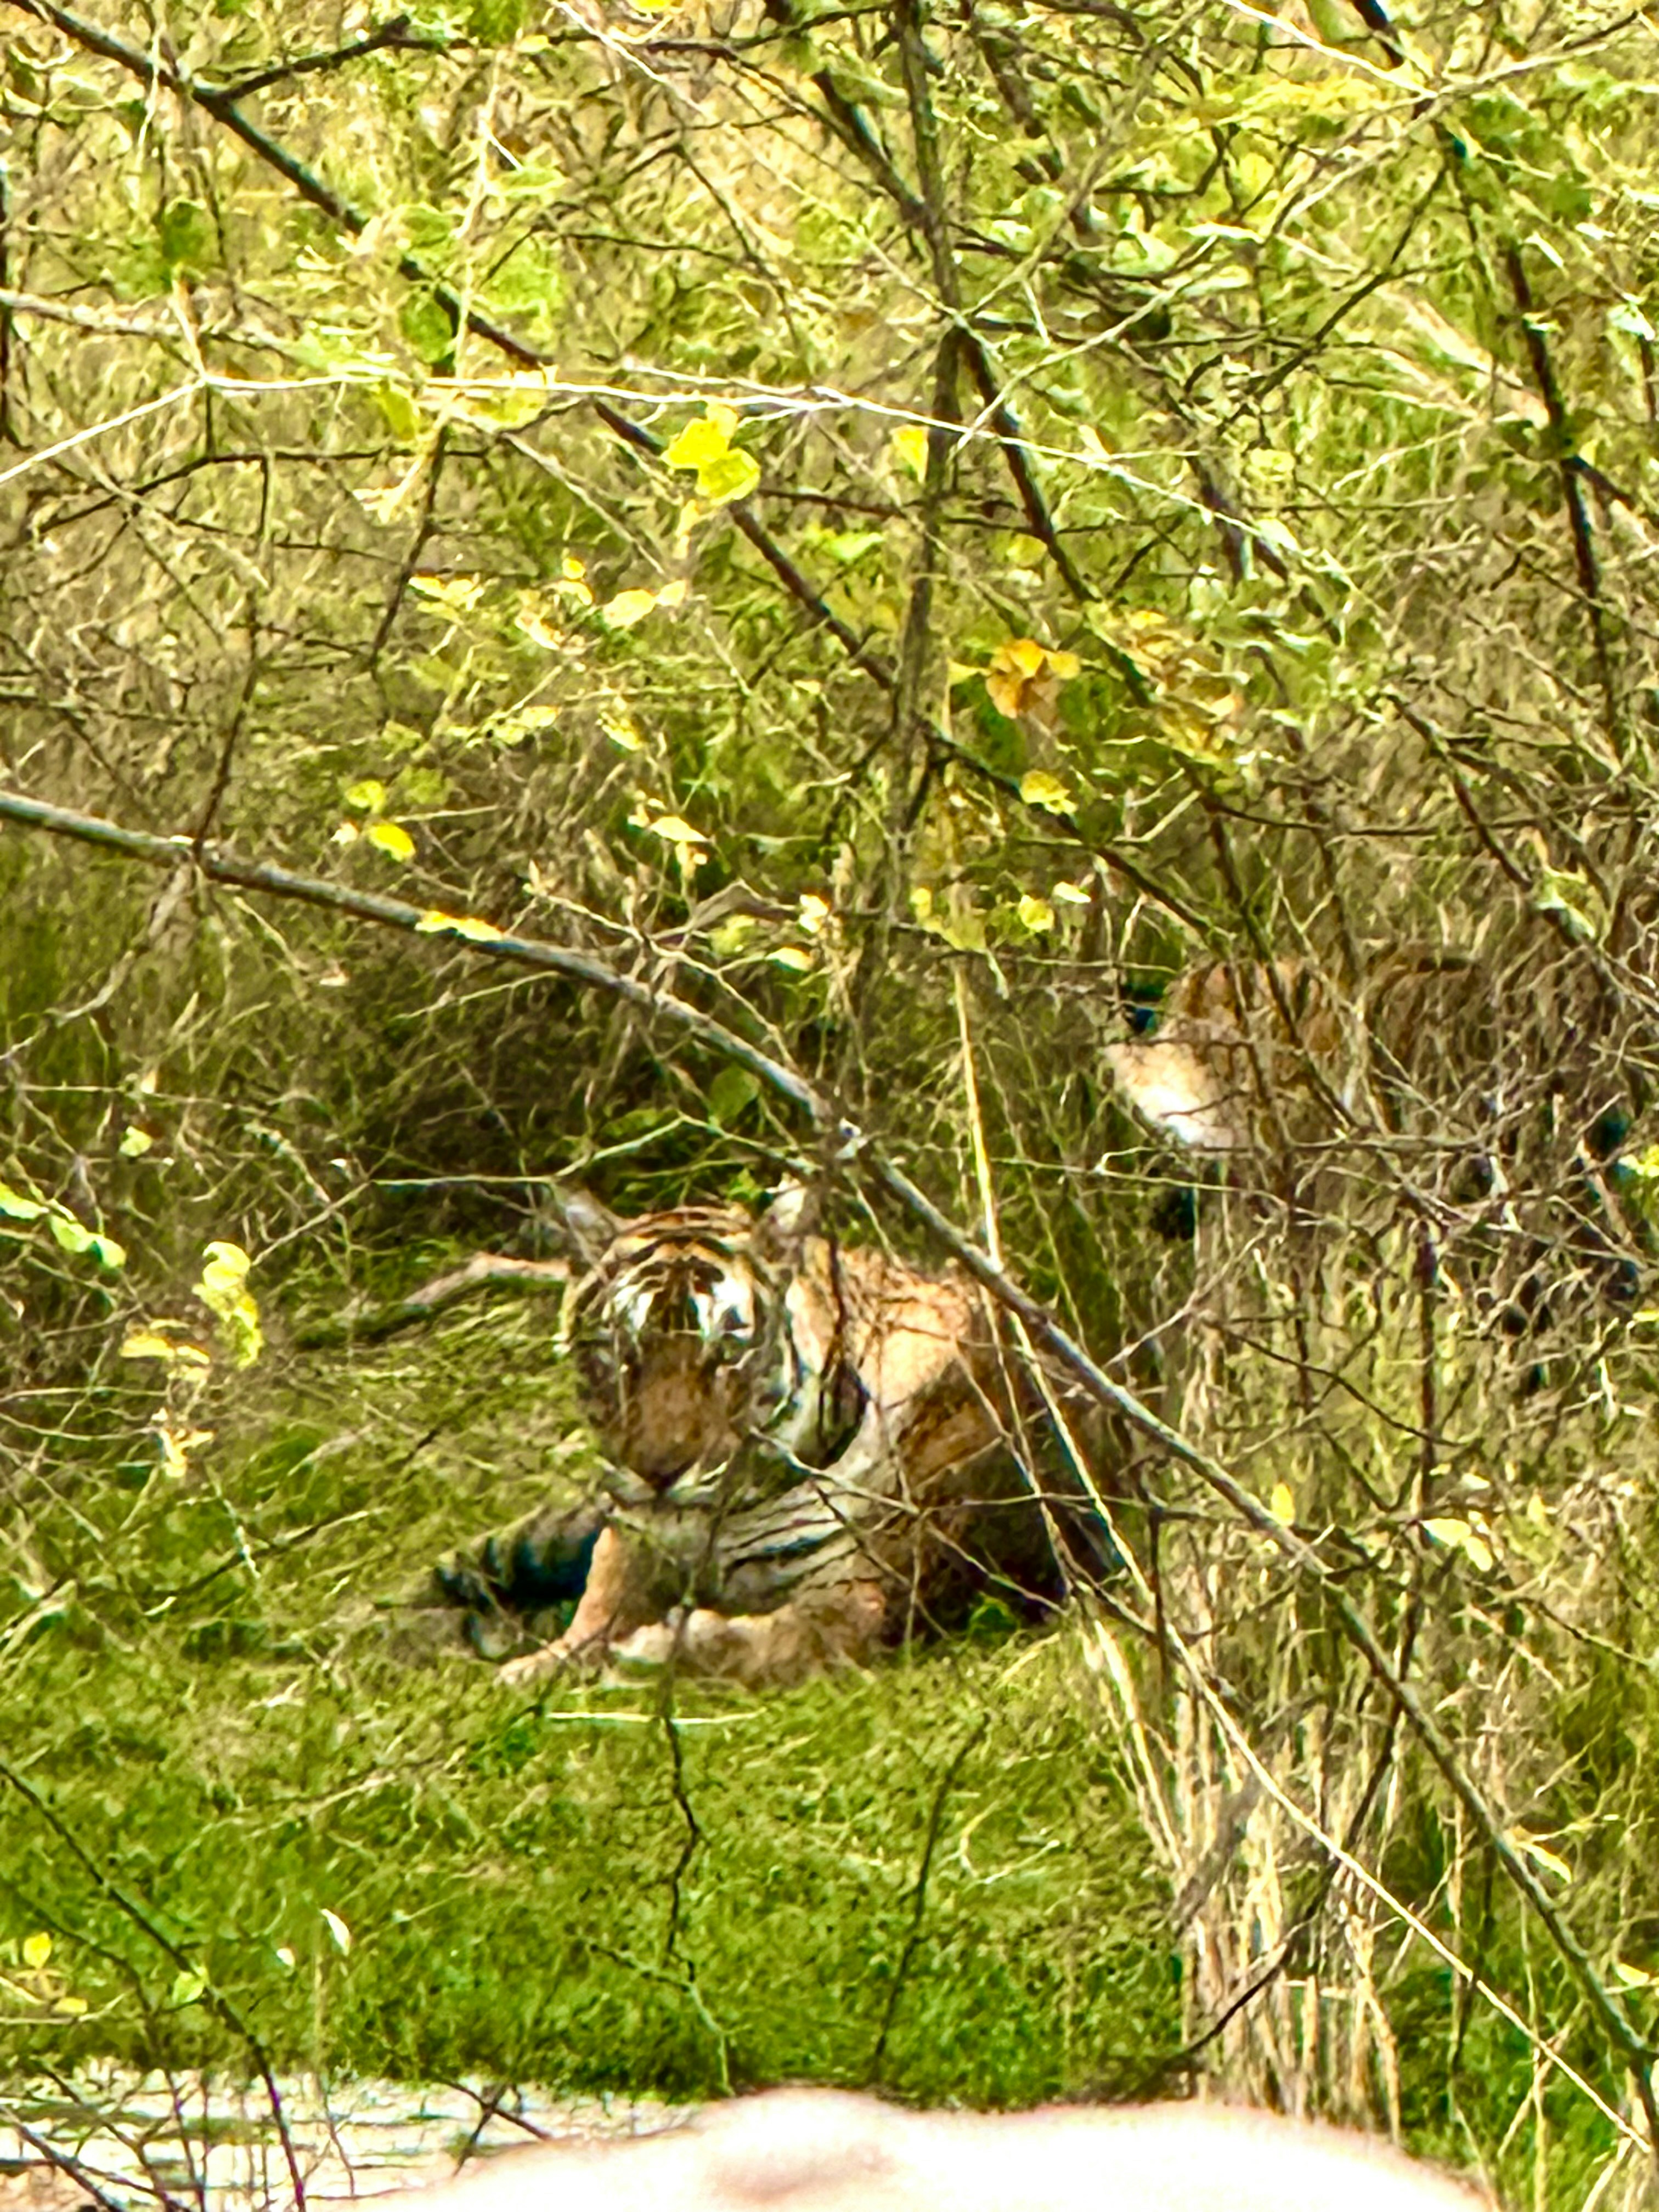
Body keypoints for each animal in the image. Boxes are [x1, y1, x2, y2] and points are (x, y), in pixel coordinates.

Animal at [433, 1184, 1113, 1690]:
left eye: (725, 1356)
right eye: (624, 1352)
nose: (658, 1472)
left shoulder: (873, 1594)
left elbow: (776, 1641)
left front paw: (650, 1654)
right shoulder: (628, 1540)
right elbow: (598, 1605)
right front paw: (538, 1666)